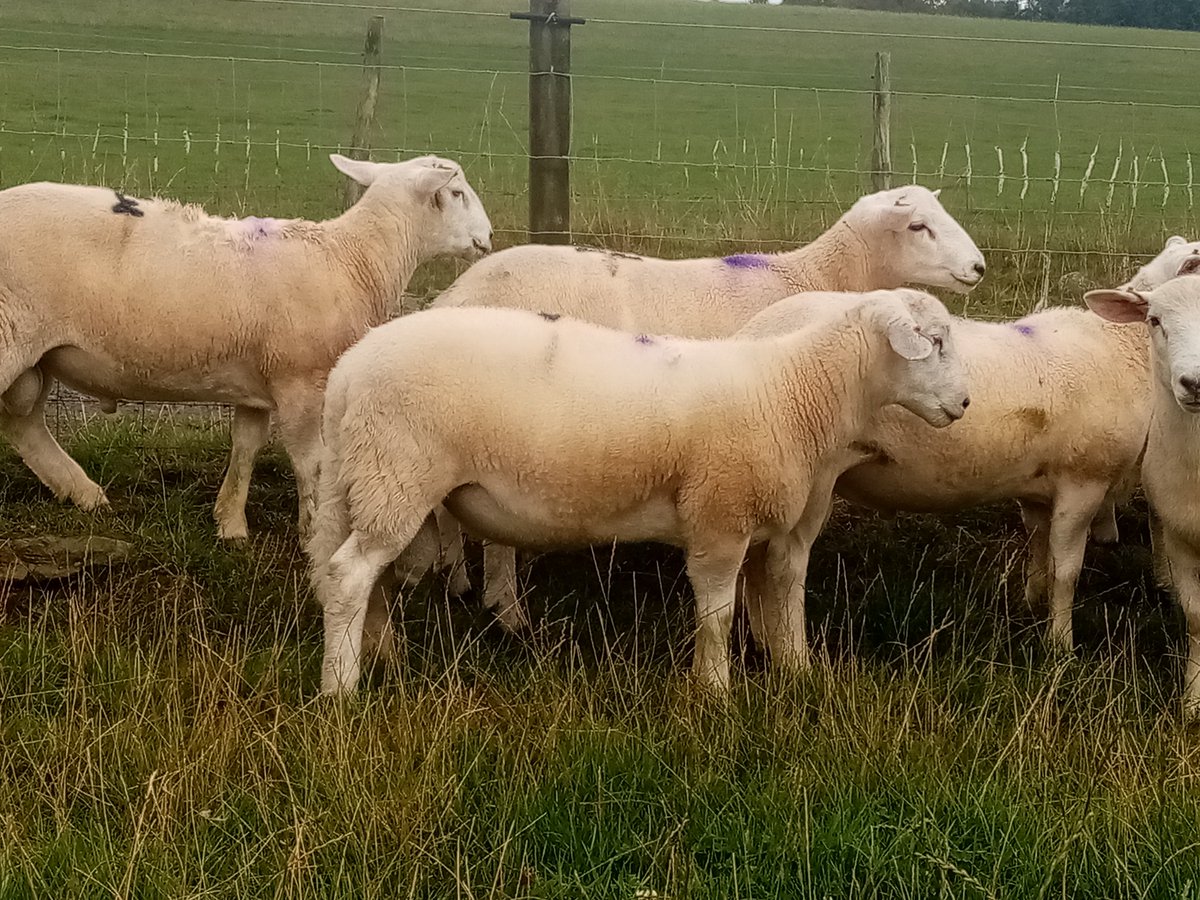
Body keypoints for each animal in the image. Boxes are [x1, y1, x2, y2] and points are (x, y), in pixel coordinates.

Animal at [0, 154, 493, 539]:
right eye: (457, 193)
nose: (487, 238)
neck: (352, 259)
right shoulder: (301, 382)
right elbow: (311, 461)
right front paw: (311, 531)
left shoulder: (257, 383)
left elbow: (246, 447)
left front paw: (231, 524)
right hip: (11, 336)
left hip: (34, 355)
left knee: (25, 424)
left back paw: (85, 494)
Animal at [308, 289, 971, 695]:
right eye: (934, 341)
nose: (965, 404)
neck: (796, 390)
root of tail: (347, 372)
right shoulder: (718, 515)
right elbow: (717, 614)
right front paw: (713, 692)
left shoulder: (768, 526)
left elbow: (785, 601)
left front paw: (799, 675)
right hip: (396, 473)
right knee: (348, 575)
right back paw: (341, 688)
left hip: (368, 480)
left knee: (371, 578)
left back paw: (381, 657)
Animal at [426, 184, 986, 624]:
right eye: (918, 226)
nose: (978, 267)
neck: (814, 279)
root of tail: (452, 295)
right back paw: (507, 610)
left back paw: (458, 582)